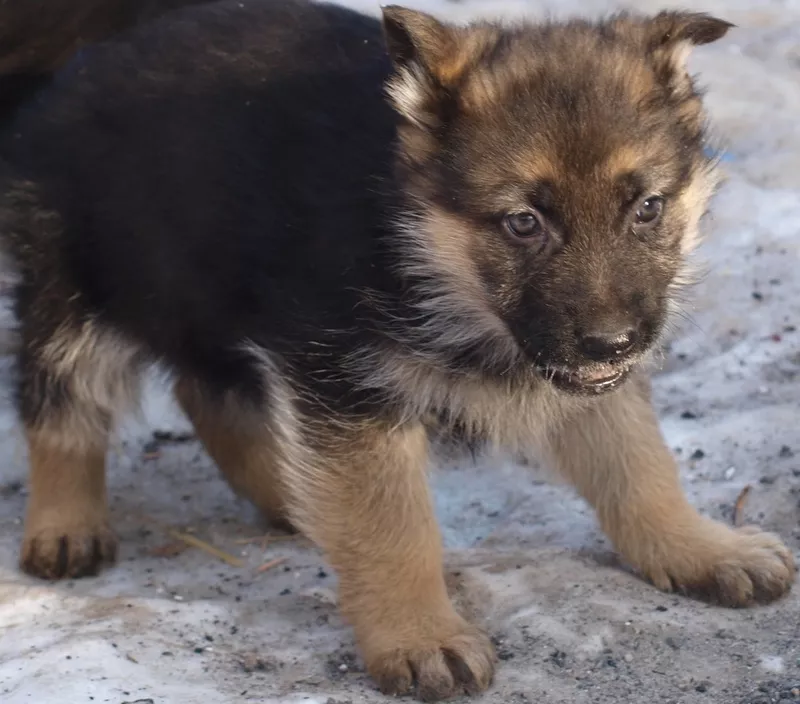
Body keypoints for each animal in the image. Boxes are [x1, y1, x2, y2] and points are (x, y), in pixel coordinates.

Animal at [0, 1, 792, 700]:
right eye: (523, 222)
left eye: (648, 208)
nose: (614, 340)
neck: (420, 243)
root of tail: (95, 52)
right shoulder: (351, 387)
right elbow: (393, 529)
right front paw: (419, 636)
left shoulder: (587, 378)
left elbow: (640, 467)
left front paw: (699, 548)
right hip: (81, 291)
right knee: (62, 406)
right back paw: (66, 527)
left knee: (209, 391)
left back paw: (287, 495)